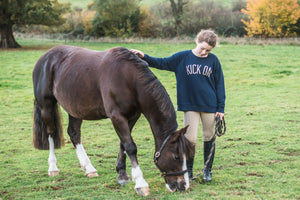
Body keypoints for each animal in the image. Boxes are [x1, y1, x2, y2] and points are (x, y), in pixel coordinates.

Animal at [31, 45, 193, 195]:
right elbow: (130, 146)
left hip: (75, 109)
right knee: (51, 132)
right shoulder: (117, 116)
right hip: (46, 106)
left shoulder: (132, 116)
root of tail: (45, 57)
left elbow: (123, 144)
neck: (128, 78)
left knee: (74, 133)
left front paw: (122, 174)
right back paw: (53, 167)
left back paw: (89, 168)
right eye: (177, 156)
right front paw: (140, 183)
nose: (183, 185)